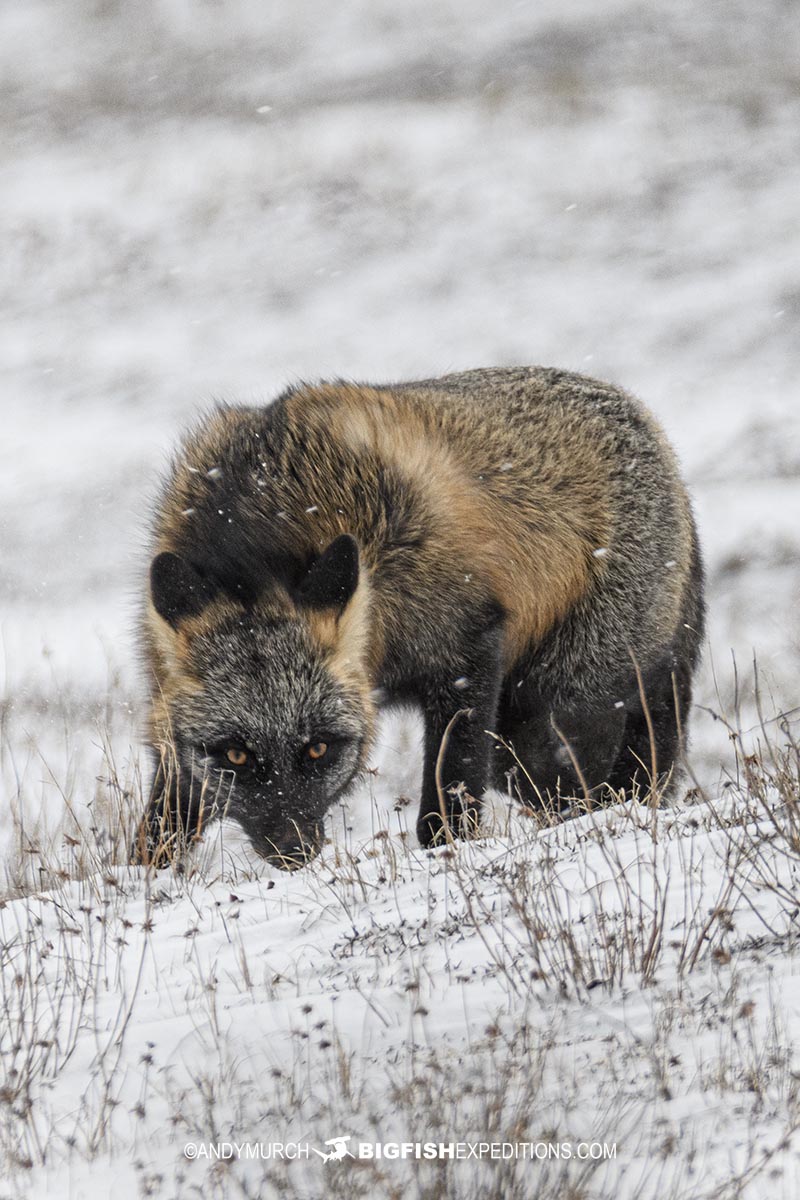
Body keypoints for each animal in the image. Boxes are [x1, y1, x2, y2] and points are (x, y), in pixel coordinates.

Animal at [132, 366, 705, 870]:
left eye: (318, 749)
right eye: (235, 756)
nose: (294, 852)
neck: (257, 535)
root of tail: (643, 418)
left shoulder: (466, 649)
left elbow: (450, 787)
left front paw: (447, 851)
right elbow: (165, 818)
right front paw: (148, 874)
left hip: (567, 699)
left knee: (605, 768)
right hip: (520, 732)